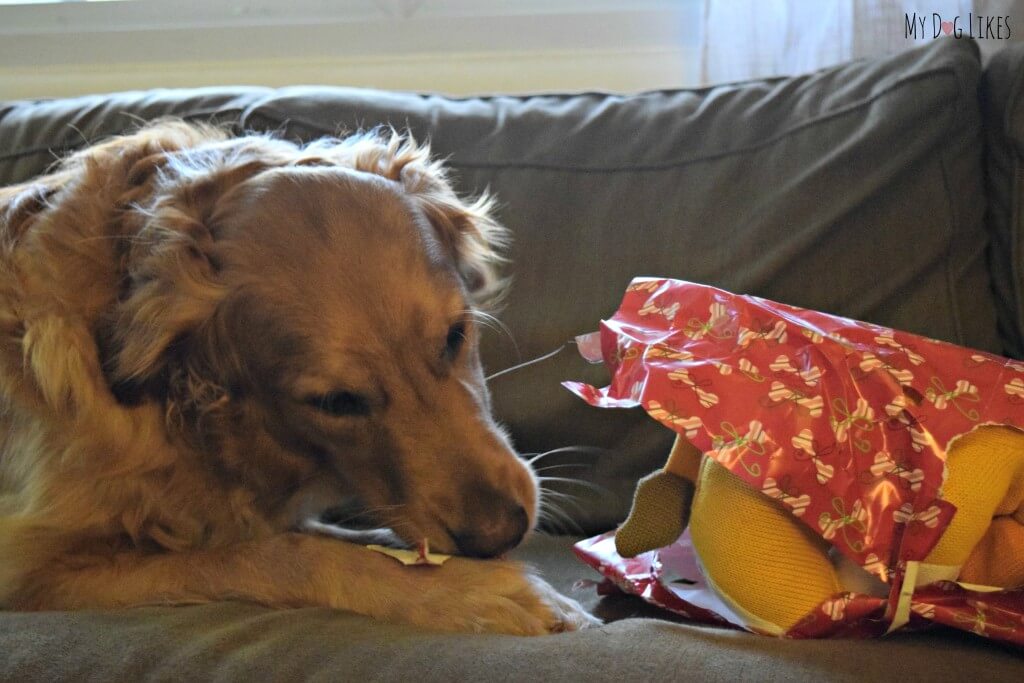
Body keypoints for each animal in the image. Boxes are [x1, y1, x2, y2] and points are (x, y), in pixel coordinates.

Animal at [0, 121, 598, 634]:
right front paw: (473, 591)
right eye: (336, 403)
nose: (500, 533)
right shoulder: (31, 568)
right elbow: (273, 554)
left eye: (455, 336)